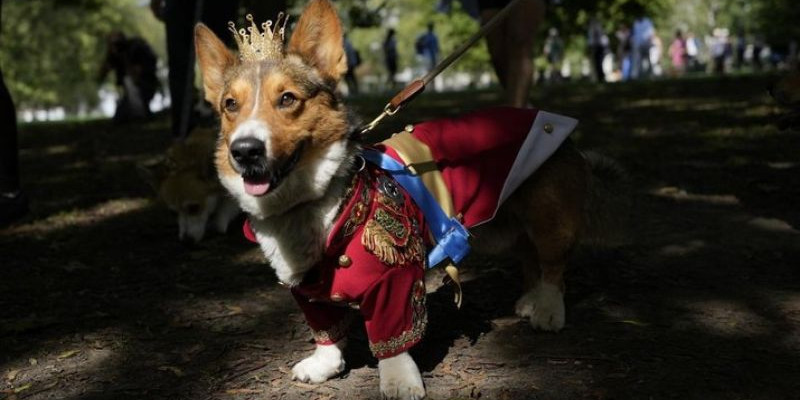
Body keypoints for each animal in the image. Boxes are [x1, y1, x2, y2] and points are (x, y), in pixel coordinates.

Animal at [195, 1, 612, 398]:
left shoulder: (395, 280)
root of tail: (560, 127)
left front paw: (399, 381)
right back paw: (529, 300)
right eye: (230, 105)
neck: (310, 203)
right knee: (528, 257)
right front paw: (323, 365)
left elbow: (391, 337)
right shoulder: (307, 291)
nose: (244, 151)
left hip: (549, 219)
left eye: (287, 99)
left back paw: (547, 310)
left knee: (553, 265)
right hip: (508, 223)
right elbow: (326, 332)